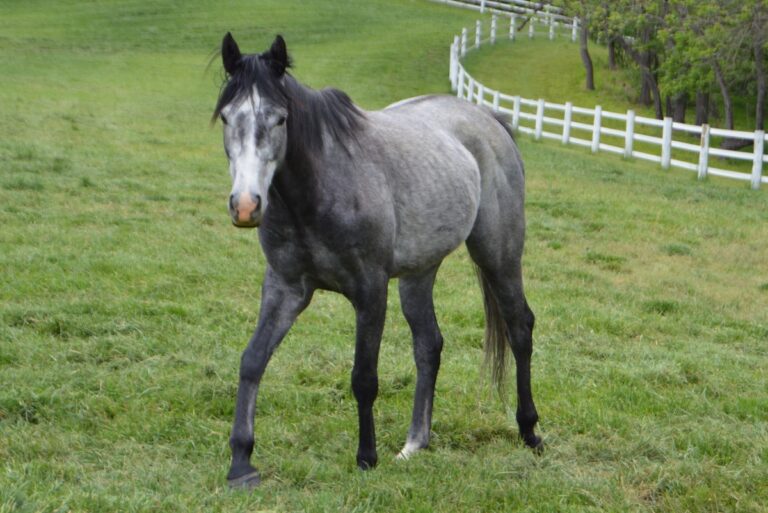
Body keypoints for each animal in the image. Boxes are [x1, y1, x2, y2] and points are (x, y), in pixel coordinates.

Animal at [213, 33, 541, 488]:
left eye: (279, 119)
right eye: (228, 118)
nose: (245, 206)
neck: (319, 190)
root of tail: (488, 118)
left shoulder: (370, 291)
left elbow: (364, 377)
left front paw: (366, 457)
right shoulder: (284, 287)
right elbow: (252, 360)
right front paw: (241, 463)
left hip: (498, 254)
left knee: (519, 327)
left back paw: (529, 431)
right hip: (419, 273)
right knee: (429, 344)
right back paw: (415, 442)